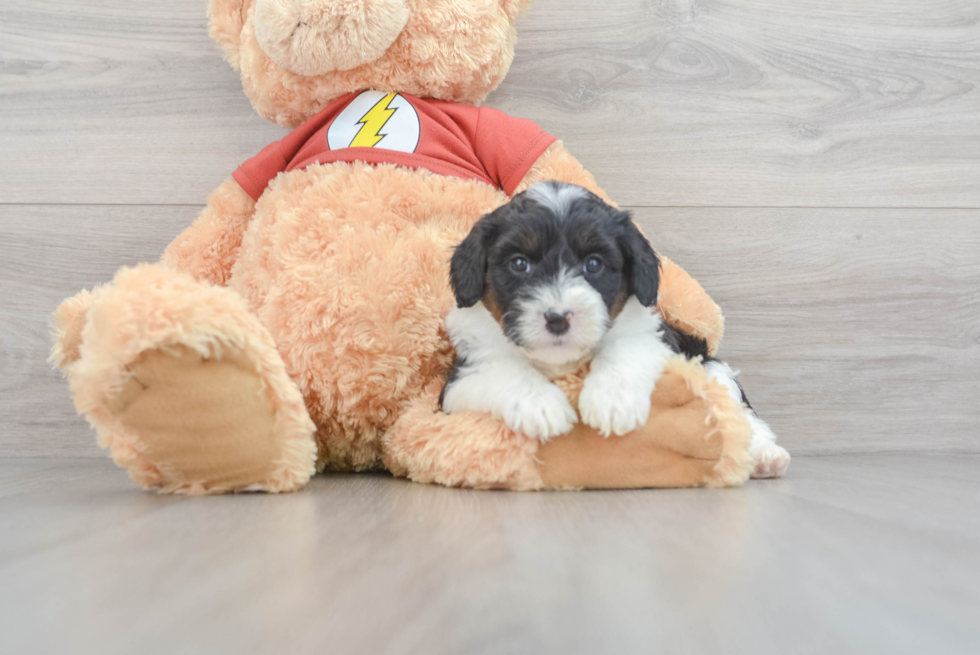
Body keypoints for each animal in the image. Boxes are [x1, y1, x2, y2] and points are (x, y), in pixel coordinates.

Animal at [440, 182, 792, 480]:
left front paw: (612, 402)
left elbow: (626, 348)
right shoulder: (459, 381)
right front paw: (541, 406)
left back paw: (765, 455)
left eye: (593, 264)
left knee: (738, 411)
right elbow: (502, 370)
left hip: (709, 363)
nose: (558, 319)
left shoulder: (657, 340)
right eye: (519, 263)